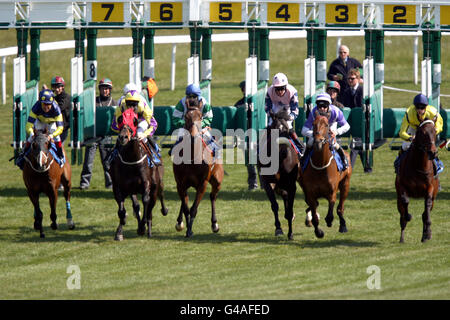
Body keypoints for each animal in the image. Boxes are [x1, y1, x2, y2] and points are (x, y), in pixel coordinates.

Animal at [109, 107, 167, 240]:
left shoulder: (146, 183)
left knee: (155, 200)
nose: (123, 137)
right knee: (137, 206)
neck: (131, 159)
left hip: (157, 185)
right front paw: (119, 231)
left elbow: (145, 201)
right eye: (120, 119)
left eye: (134, 121)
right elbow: (122, 210)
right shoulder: (119, 186)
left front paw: (142, 227)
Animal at [171, 107, 224, 238]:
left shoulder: (202, 184)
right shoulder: (180, 184)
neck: (192, 157)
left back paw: (214, 224)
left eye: (200, 116)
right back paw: (179, 222)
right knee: (184, 200)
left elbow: (193, 209)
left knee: (212, 197)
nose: (193, 135)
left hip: (217, 181)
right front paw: (187, 229)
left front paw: (190, 230)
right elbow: (186, 208)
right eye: (186, 117)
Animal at [258, 111, 300, 239]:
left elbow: (290, 208)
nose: (284, 149)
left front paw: (290, 233)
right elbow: (274, 205)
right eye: (274, 128)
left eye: (288, 130)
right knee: (283, 195)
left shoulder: (292, 185)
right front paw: (278, 229)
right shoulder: (267, 182)